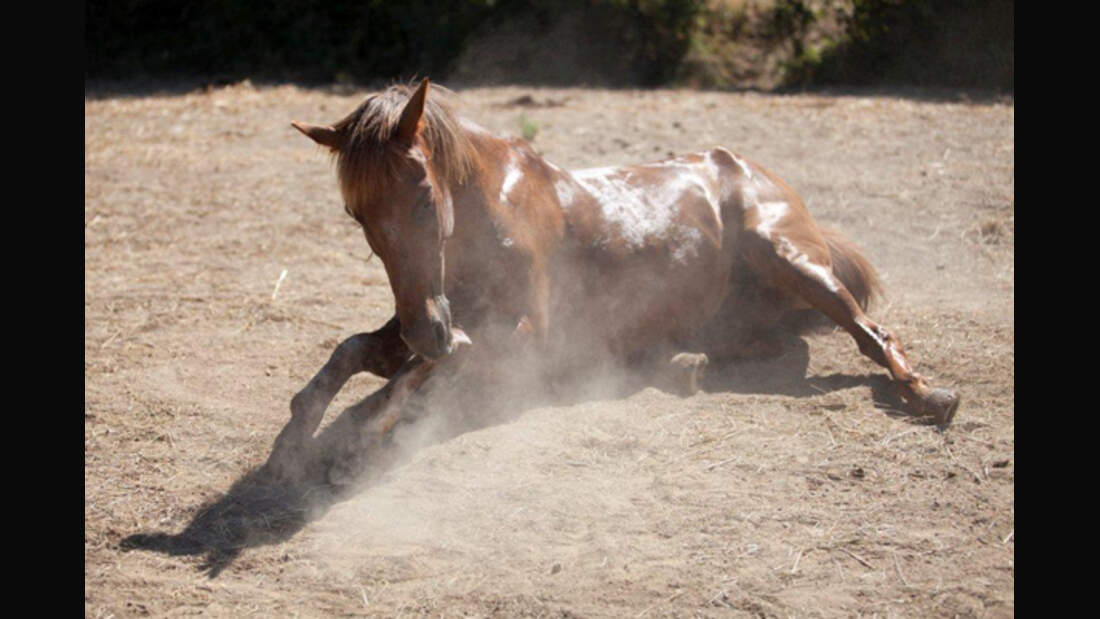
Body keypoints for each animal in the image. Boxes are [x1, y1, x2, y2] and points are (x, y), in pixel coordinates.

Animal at [264, 78, 954, 483]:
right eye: (357, 215)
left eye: (422, 198)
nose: (427, 330)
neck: (489, 207)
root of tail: (749, 167)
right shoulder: (425, 310)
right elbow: (356, 349)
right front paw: (294, 435)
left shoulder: (519, 334)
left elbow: (432, 365)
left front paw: (363, 434)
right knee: (781, 347)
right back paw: (683, 363)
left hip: (789, 255)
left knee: (868, 333)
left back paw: (928, 394)